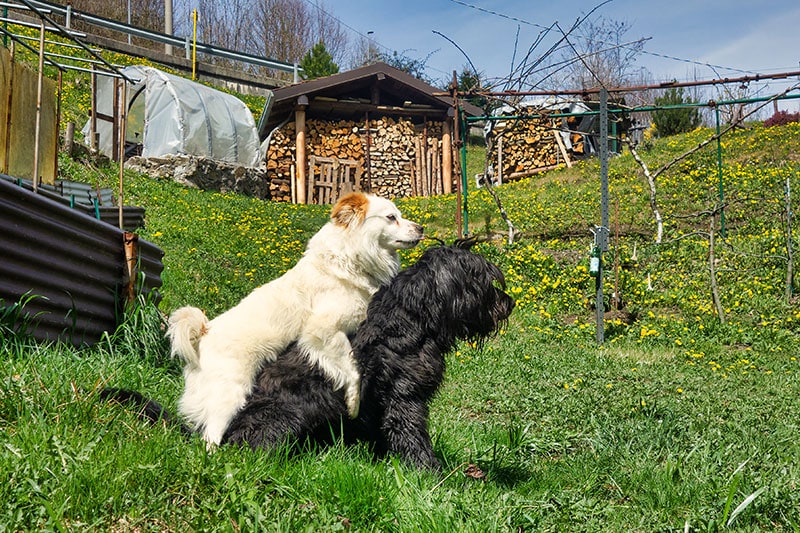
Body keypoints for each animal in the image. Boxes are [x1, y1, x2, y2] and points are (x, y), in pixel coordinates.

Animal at [101, 243, 512, 468]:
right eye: (484, 281)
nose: (507, 304)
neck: (412, 318)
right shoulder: (403, 398)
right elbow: (412, 437)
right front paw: (433, 474)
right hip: (288, 413)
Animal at [169, 191, 424, 444]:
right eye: (391, 217)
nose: (421, 228)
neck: (349, 259)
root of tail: (203, 333)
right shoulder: (322, 331)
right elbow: (352, 369)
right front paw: (353, 404)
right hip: (229, 394)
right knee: (210, 437)